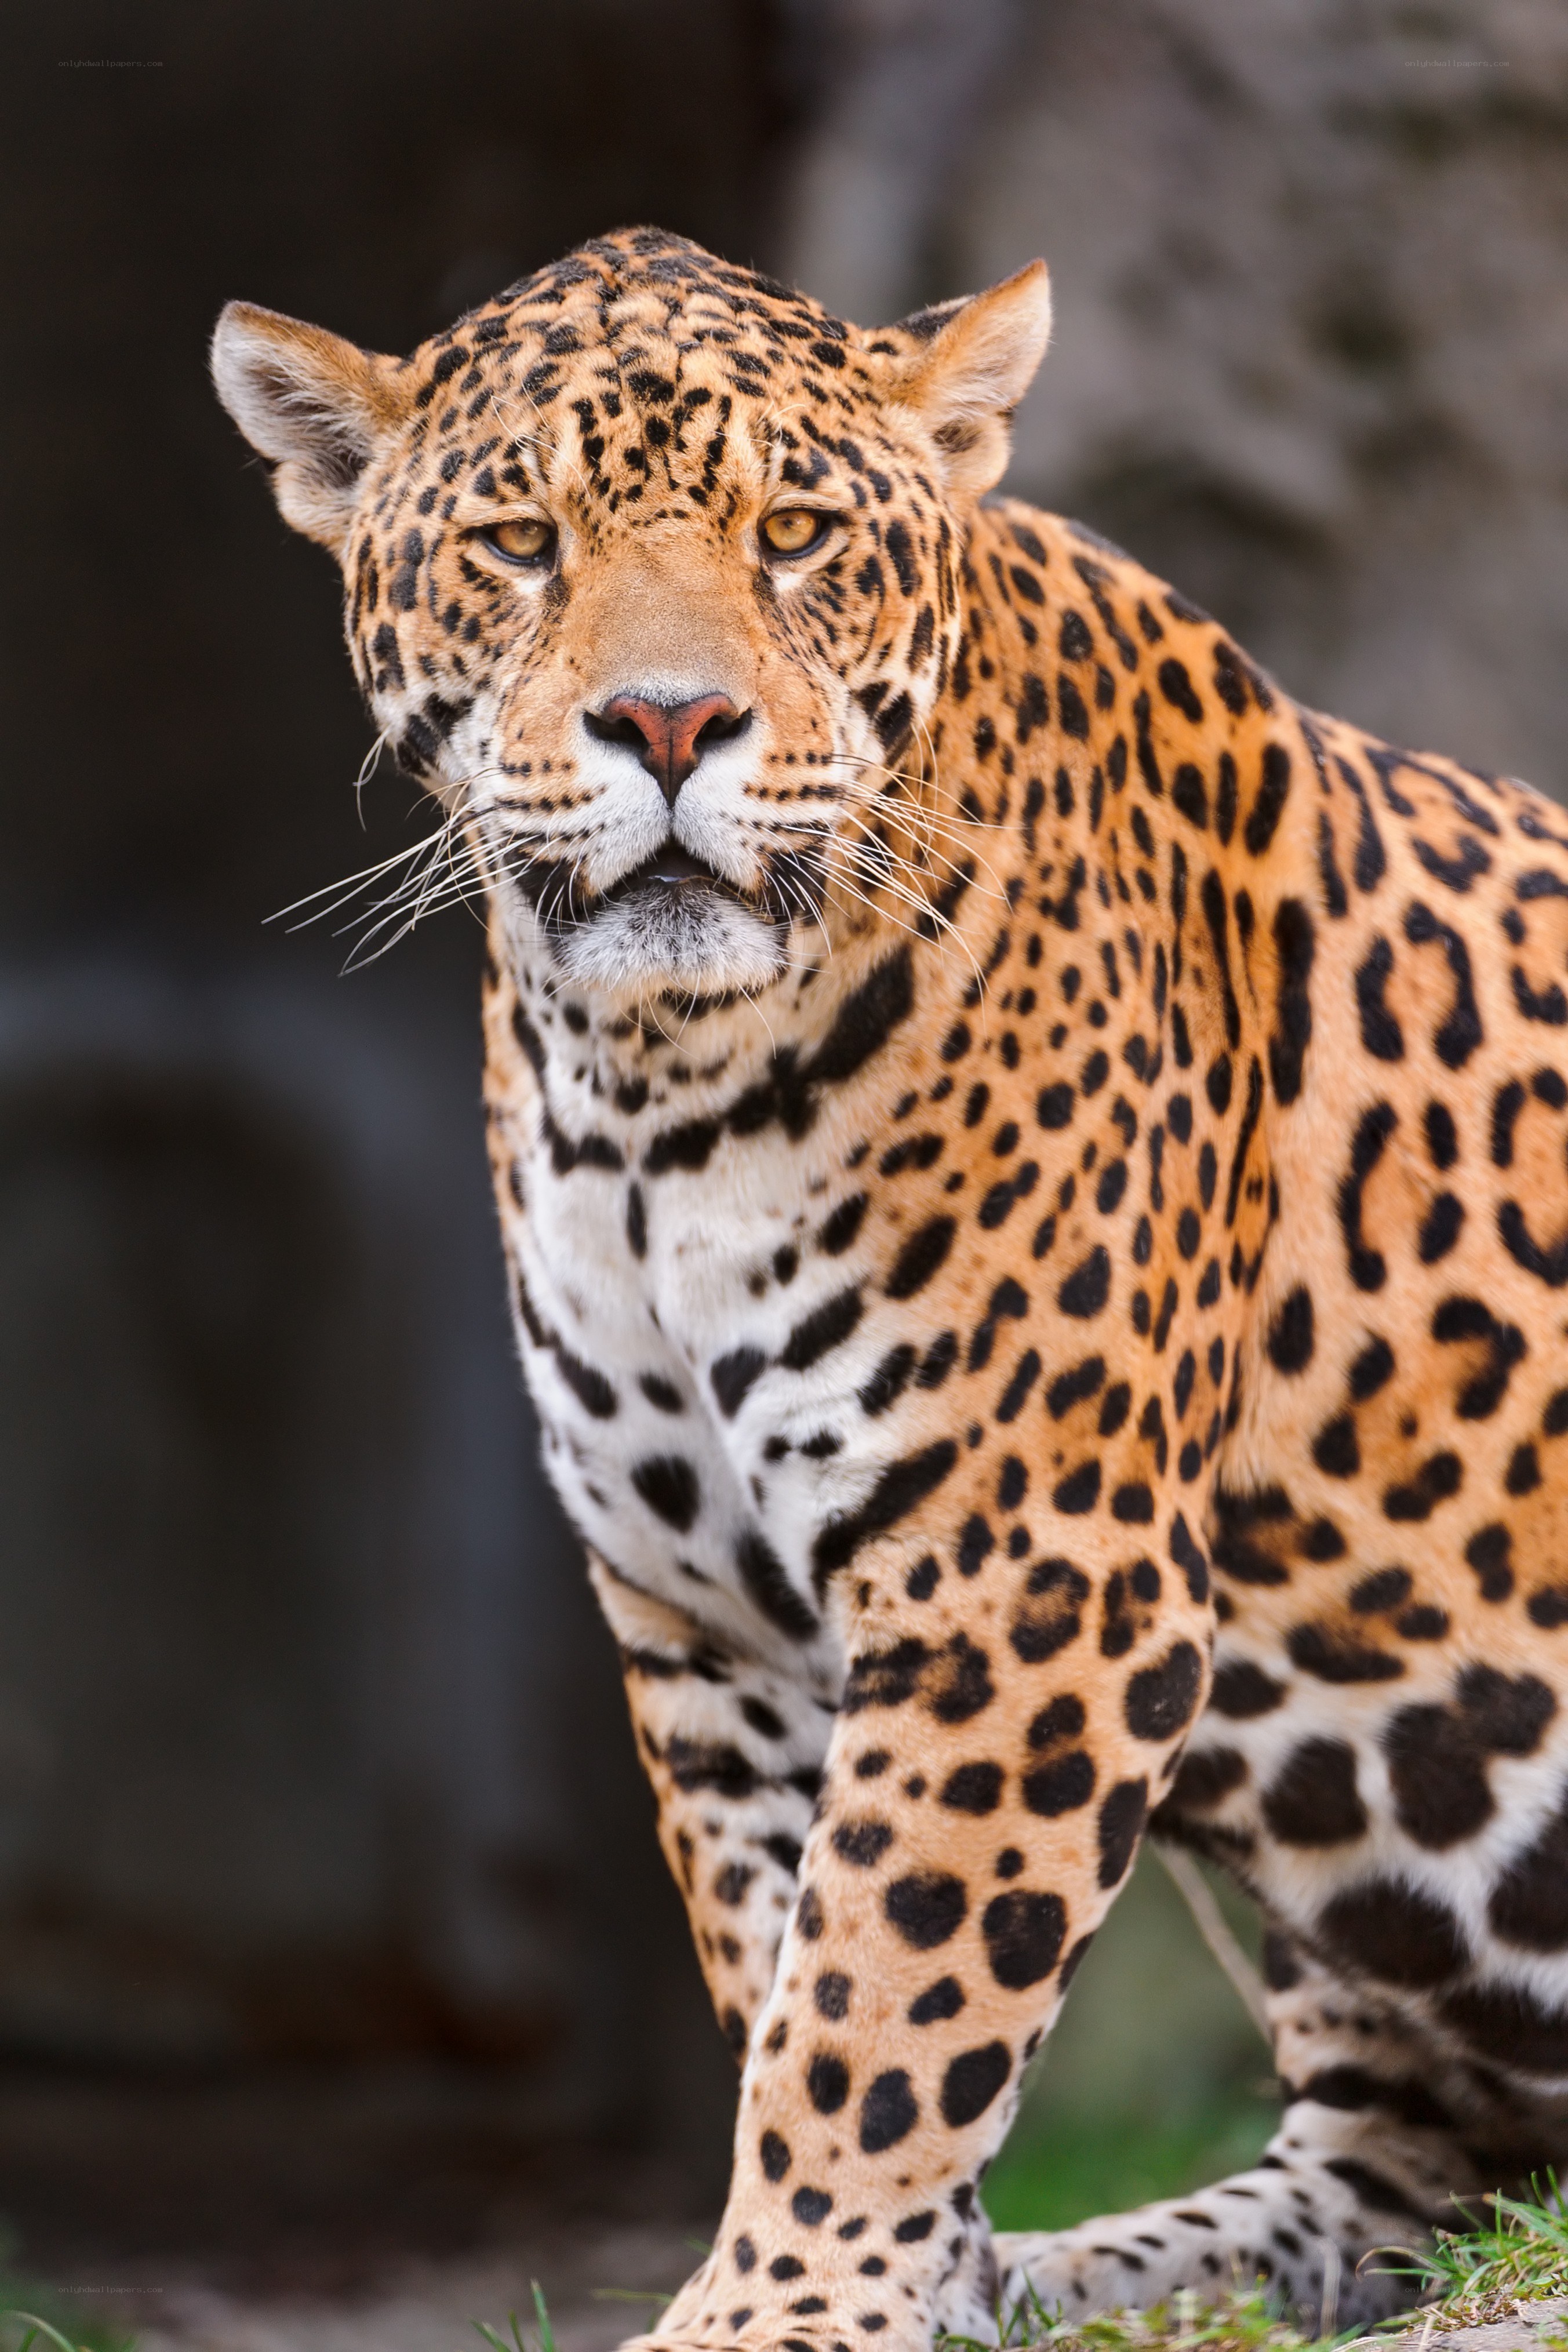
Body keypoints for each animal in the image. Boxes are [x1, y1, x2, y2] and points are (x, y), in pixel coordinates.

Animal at [212, 226, 1568, 2341]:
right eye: (518, 540)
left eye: (793, 533)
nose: (668, 726)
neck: (653, 1082)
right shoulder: (702, 1619)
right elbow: (786, 1962)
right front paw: (888, 2286)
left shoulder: (1028, 1572)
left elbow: (883, 1989)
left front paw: (776, 2302)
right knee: (1392, 2178)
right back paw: (1076, 2273)